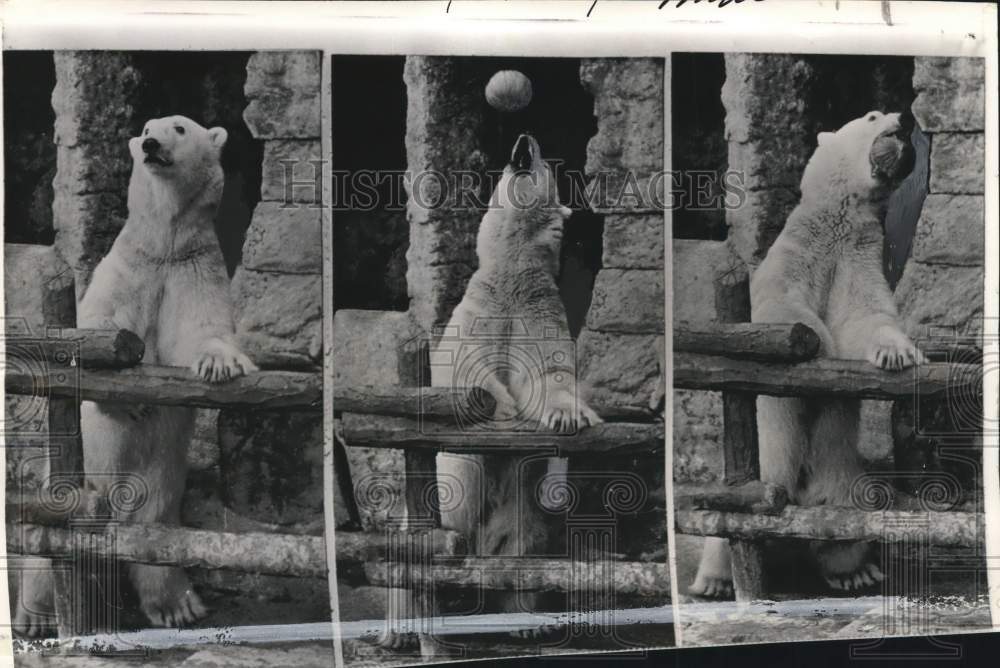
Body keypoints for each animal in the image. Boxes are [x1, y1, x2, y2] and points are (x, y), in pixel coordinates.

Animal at [14, 116, 258, 636]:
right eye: (146, 126)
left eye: (179, 128)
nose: (149, 143)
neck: (164, 244)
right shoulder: (129, 267)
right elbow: (95, 335)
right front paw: (132, 399)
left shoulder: (194, 269)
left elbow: (204, 332)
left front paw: (221, 364)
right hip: (71, 478)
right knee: (48, 541)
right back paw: (36, 616)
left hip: (160, 476)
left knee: (156, 528)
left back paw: (178, 605)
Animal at [692, 111, 924, 600]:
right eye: (873, 115)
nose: (904, 117)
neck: (837, 220)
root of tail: (796, 496)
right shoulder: (798, 251)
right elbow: (782, 312)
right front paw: (816, 343)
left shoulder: (858, 256)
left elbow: (866, 315)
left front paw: (899, 354)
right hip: (761, 466)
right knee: (729, 516)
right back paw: (714, 581)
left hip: (841, 475)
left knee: (847, 523)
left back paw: (855, 572)